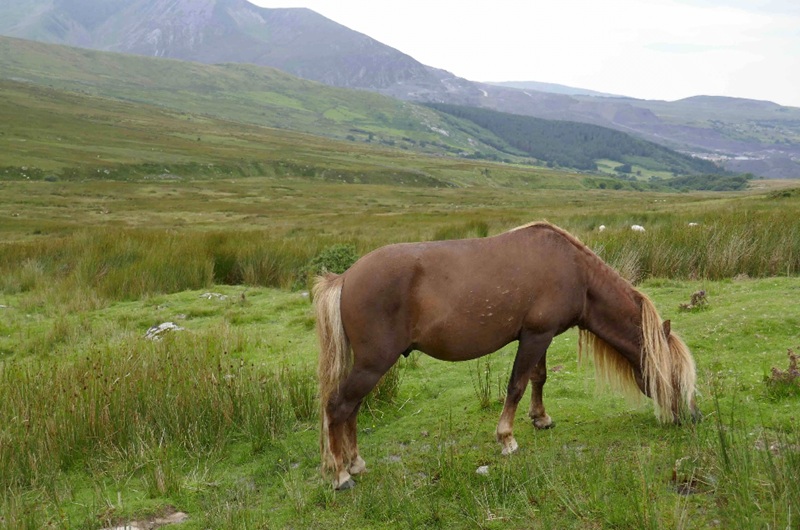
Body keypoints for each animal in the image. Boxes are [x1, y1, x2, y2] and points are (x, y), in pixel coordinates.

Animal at [310, 221, 696, 488]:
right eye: (675, 374)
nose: (693, 418)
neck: (573, 270)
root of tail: (346, 277)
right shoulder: (535, 337)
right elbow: (517, 385)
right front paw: (507, 438)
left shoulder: (542, 336)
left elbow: (538, 378)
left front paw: (541, 418)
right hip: (373, 364)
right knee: (338, 407)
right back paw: (341, 474)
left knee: (352, 408)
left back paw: (355, 462)